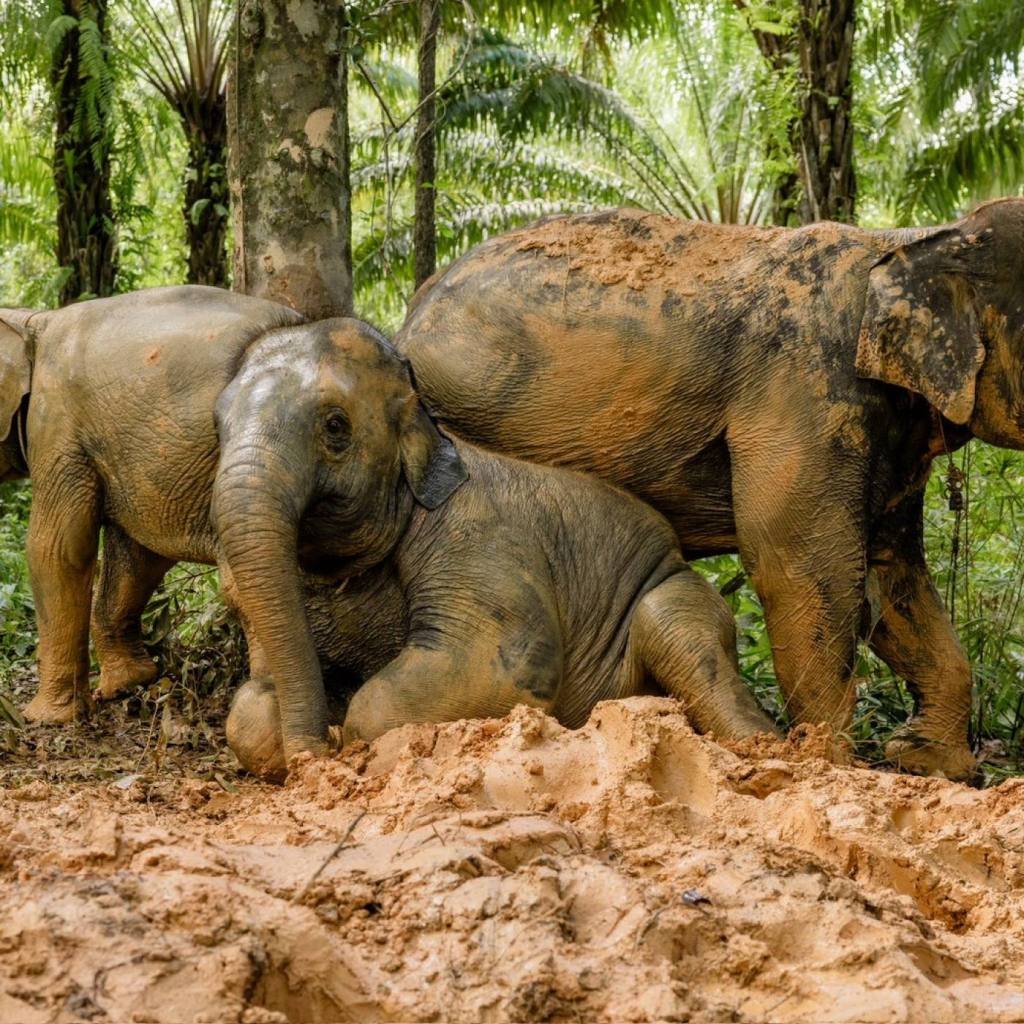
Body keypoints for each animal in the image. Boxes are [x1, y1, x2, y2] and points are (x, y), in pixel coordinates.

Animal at [0, 286, 467, 762]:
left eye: (336, 426)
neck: (33, 322)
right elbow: (138, 554)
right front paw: (129, 684)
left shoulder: (55, 423)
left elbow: (59, 549)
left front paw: (49, 717)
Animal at [223, 404, 777, 780]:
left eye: (334, 428)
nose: (312, 759)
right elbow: (252, 707)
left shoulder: (476, 535)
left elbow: (493, 670)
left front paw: (349, 741)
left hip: (671, 587)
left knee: (676, 633)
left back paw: (765, 751)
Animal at [396, 198, 1024, 780]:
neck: (912, 240)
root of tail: (414, 310)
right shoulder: (806, 387)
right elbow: (804, 565)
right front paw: (830, 764)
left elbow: (892, 575)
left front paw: (931, 764)